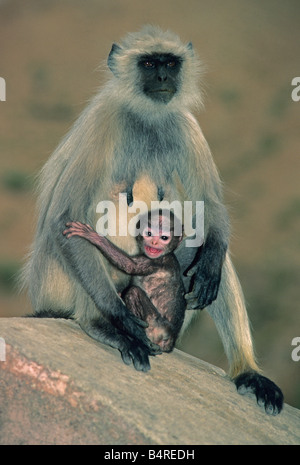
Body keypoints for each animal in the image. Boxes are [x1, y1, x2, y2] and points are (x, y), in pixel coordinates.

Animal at [63, 210, 185, 352]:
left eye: (164, 238)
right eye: (149, 234)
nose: (154, 243)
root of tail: (170, 341)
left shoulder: (160, 261)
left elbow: (130, 265)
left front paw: (94, 237)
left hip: (156, 326)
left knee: (133, 292)